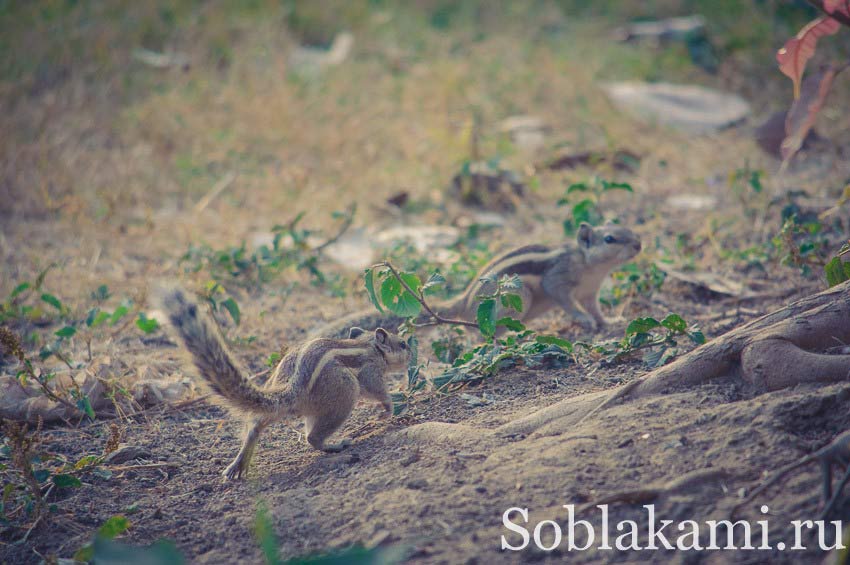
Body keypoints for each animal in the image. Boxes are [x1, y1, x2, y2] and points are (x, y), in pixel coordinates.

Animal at [161, 286, 410, 476]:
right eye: (403, 343)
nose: (411, 353)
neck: (369, 346)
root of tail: (291, 389)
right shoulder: (370, 370)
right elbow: (377, 390)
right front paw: (388, 408)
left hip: (289, 404)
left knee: (256, 424)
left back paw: (238, 465)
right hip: (344, 394)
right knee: (312, 437)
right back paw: (336, 445)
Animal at [314, 219, 640, 334]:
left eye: (623, 226)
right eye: (610, 238)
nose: (639, 244)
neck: (590, 267)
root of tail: (463, 302)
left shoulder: (590, 292)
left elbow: (596, 309)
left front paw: (608, 321)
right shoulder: (558, 279)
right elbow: (566, 300)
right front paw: (583, 320)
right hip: (517, 297)